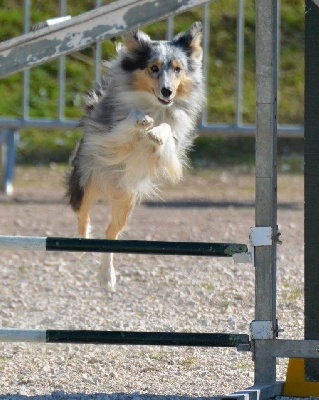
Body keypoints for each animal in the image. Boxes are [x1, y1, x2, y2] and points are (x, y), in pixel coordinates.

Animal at [65, 22, 205, 290]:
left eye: (178, 69)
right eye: (153, 68)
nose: (167, 91)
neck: (155, 104)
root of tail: (109, 191)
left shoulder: (171, 150)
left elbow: (166, 131)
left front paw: (156, 132)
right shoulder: (109, 134)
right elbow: (128, 123)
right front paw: (142, 120)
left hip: (126, 201)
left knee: (110, 235)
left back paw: (107, 276)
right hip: (86, 180)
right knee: (83, 214)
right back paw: (81, 242)